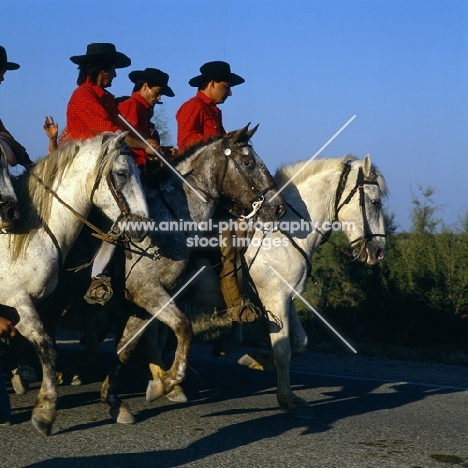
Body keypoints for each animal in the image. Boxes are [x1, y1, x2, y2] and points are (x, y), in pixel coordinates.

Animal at [0, 133, 148, 436]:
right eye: (122, 173)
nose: (143, 226)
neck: (26, 236)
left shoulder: (41, 302)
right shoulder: (17, 301)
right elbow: (47, 347)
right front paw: (45, 412)